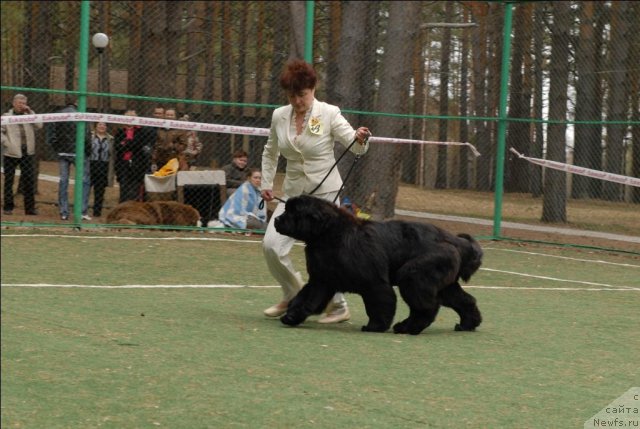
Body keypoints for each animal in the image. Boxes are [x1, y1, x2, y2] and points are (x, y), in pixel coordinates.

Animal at [272, 196, 482, 334]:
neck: (329, 235)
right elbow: (304, 299)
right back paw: (466, 325)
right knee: (466, 301)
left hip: (414, 276)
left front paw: (375, 327)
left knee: (427, 307)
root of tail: (455, 240)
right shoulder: (321, 281)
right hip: (444, 284)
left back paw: (407, 328)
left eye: (293, 212)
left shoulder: (374, 283)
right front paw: (291, 316)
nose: (276, 219)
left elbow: (379, 305)